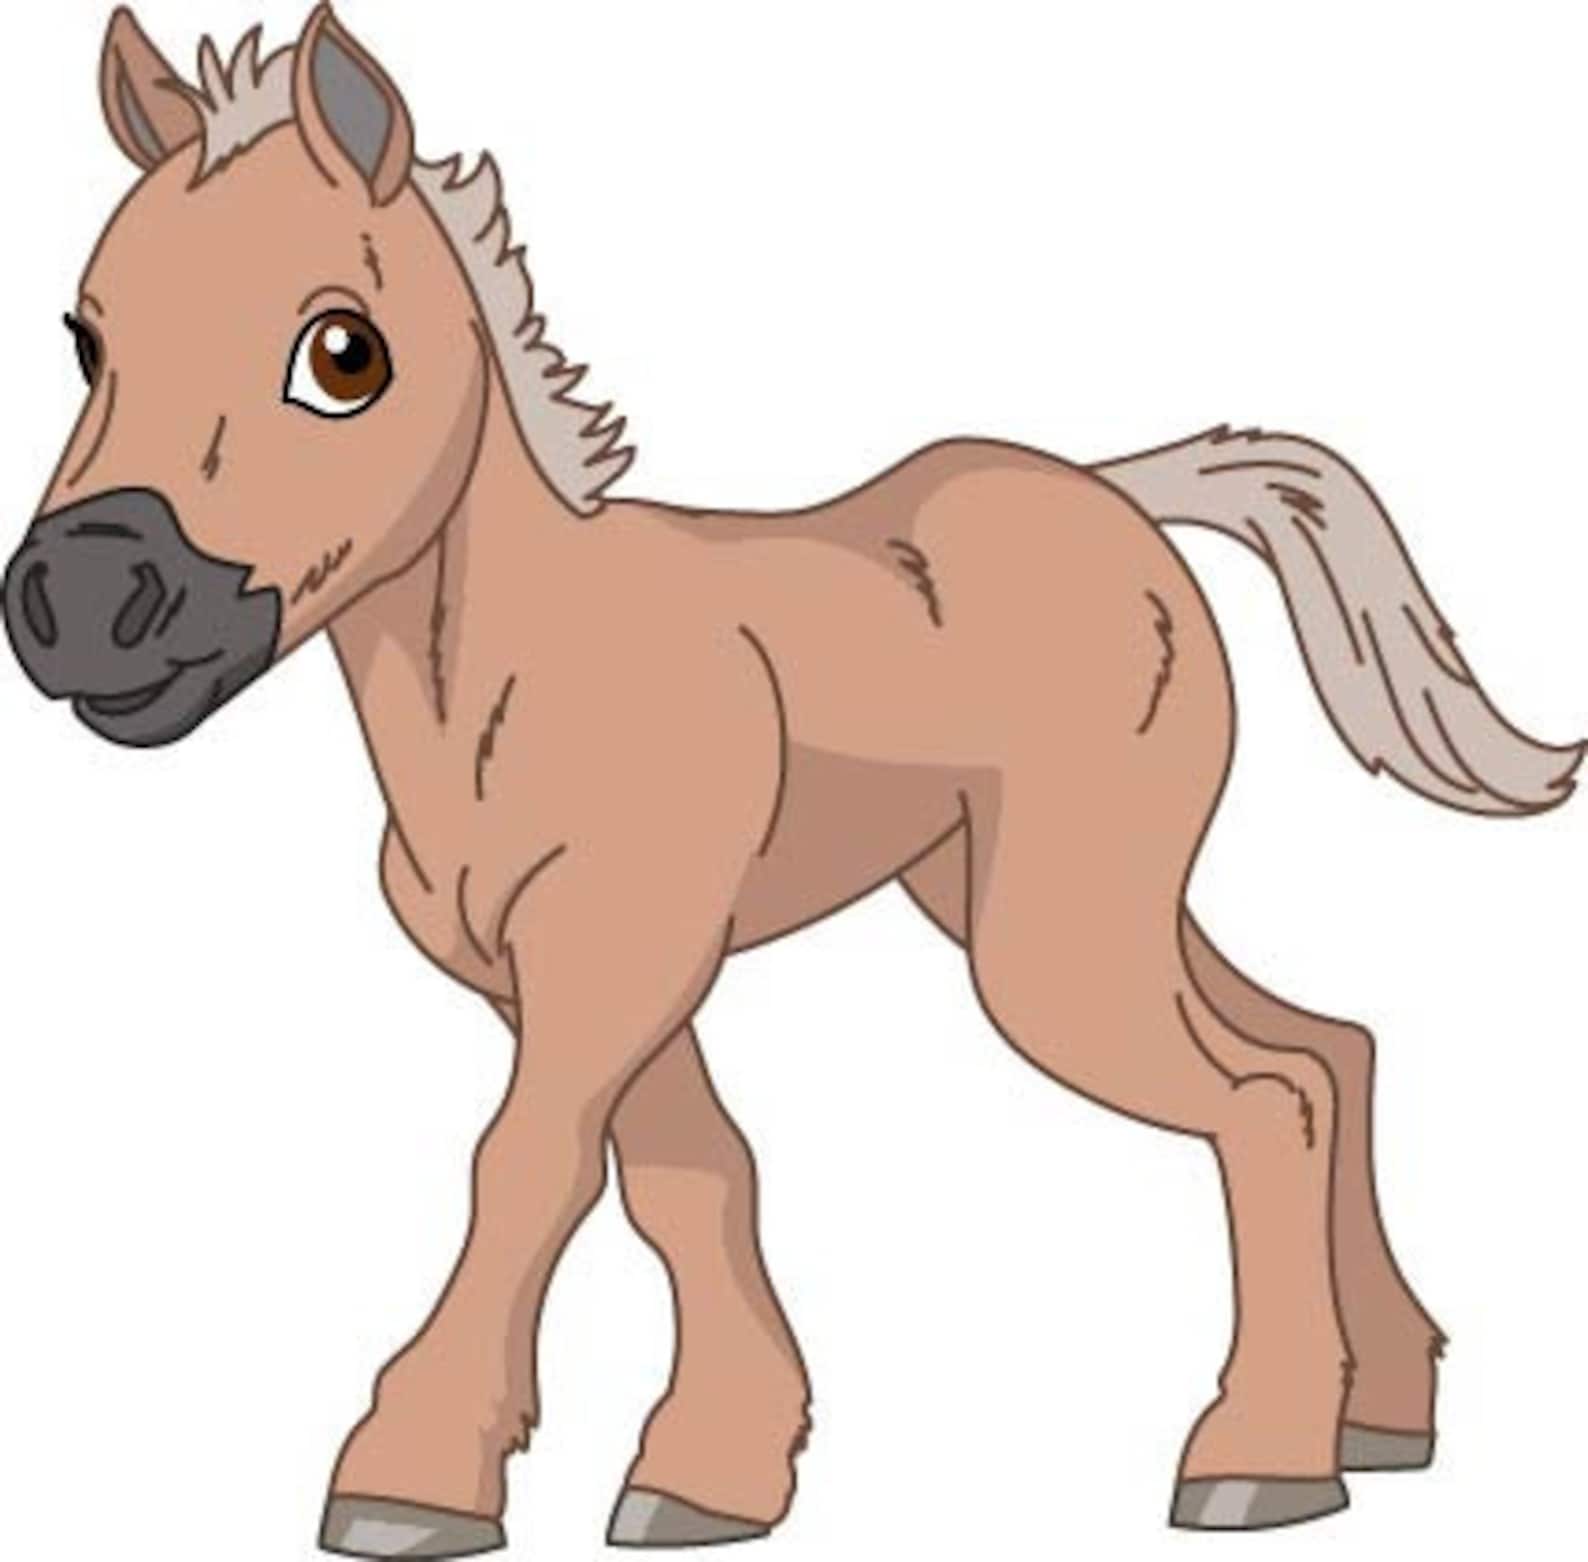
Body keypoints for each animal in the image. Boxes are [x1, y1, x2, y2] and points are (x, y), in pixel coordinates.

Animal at [4, 7, 1580, 1555]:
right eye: (84, 339)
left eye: (343, 353)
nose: (83, 602)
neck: (511, 673)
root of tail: (1124, 494)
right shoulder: (583, 970)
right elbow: (687, 1172)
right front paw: (714, 1472)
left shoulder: (619, 944)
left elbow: (530, 1162)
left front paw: (410, 1478)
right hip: (1048, 890)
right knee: (1330, 1044)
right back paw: (1385, 1411)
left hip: (1052, 937)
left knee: (1269, 1094)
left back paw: (1258, 1460)